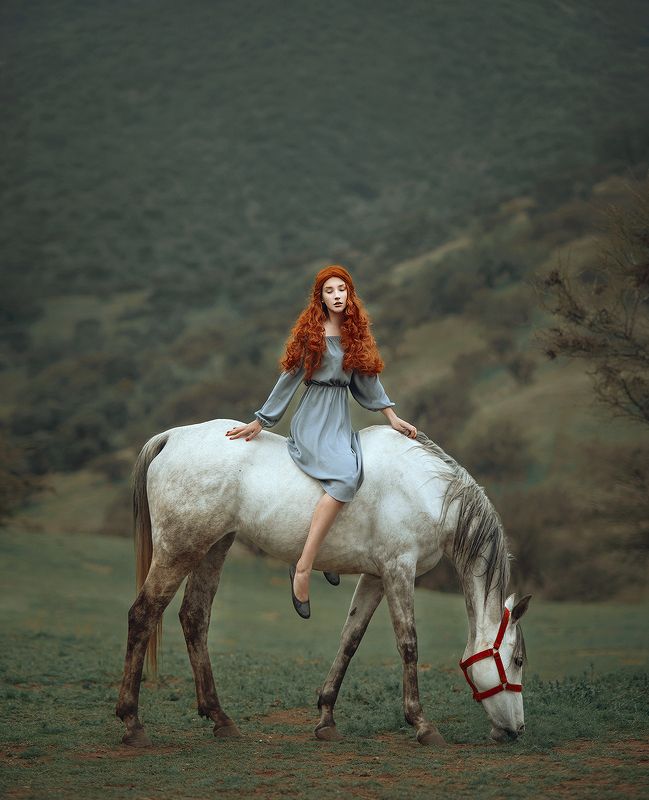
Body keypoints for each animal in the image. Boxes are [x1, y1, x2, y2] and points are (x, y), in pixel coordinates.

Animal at [115, 419, 531, 747]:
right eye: (518, 660)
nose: (515, 730)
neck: (427, 490)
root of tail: (172, 436)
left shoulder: (376, 577)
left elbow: (350, 640)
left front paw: (326, 718)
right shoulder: (398, 569)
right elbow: (408, 644)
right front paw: (422, 724)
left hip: (214, 547)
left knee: (194, 617)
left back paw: (221, 719)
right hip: (180, 550)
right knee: (143, 614)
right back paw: (133, 723)